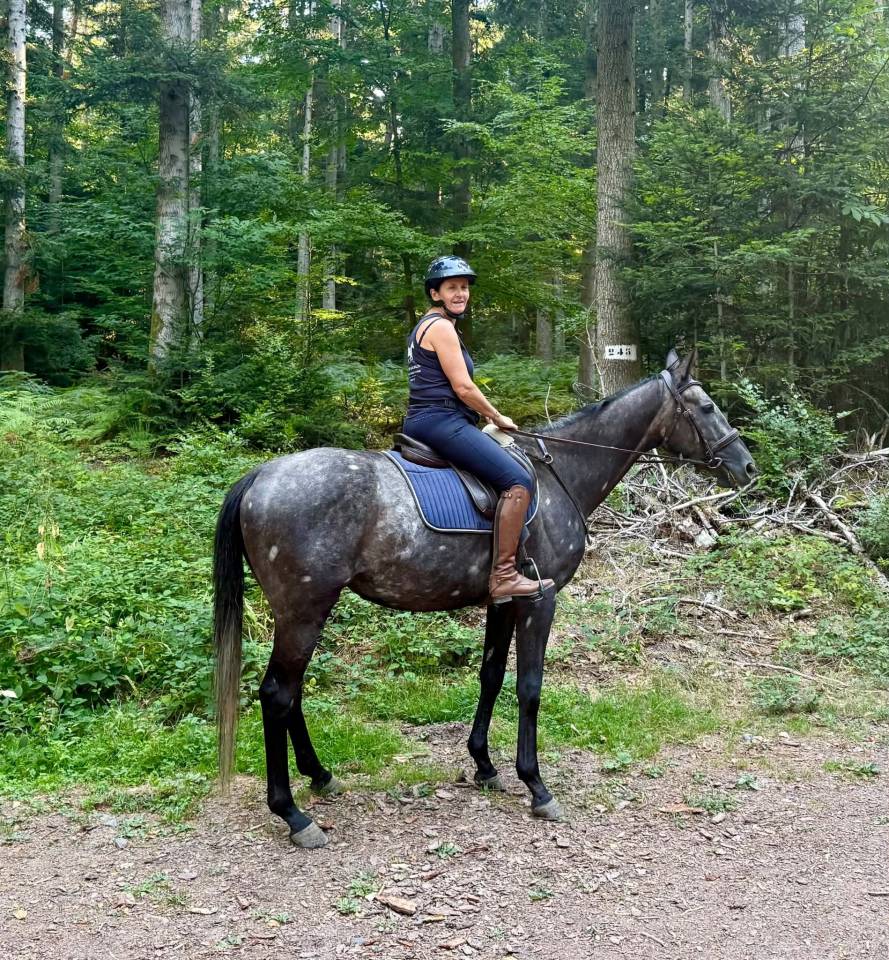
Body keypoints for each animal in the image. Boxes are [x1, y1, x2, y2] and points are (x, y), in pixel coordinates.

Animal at [213, 350, 756, 847]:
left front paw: (484, 765)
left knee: (292, 693)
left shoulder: (504, 601)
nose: (747, 467)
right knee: (277, 694)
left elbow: (491, 675)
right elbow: (529, 687)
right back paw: (292, 814)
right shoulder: (540, 600)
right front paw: (536, 785)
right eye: (707, 407)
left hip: (303, 613)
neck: (563, 473)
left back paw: (320, 775)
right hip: (304, 610)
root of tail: (260, 476)